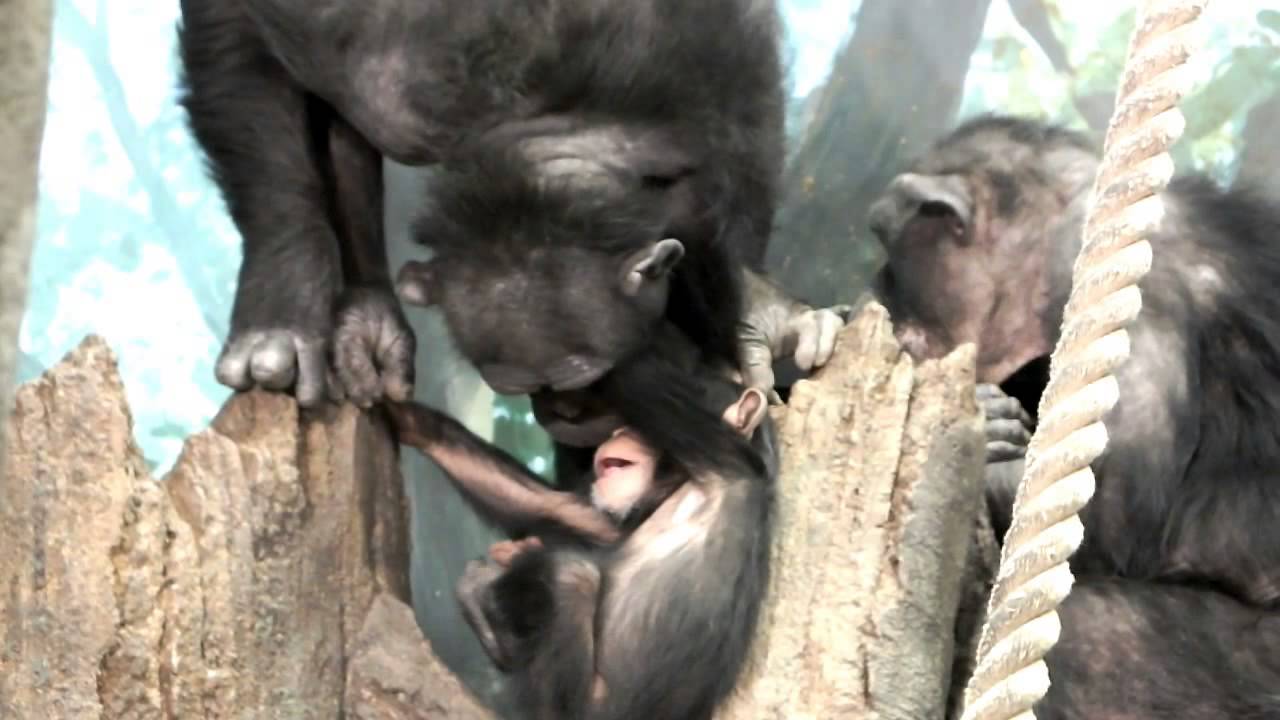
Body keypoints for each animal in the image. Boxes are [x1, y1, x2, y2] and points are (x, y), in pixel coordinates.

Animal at [176, 0, 846, 411]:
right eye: (524, 389)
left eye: (590, 378)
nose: (565, 412)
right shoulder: (383, 85)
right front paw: (284, 305)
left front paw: (757, 307)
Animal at [386, 350, 776, 720]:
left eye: (640, 424)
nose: (619, 433)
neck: (679, 485)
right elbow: (564, 508)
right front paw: (409, 417)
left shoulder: (711, 447)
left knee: (570, 576)